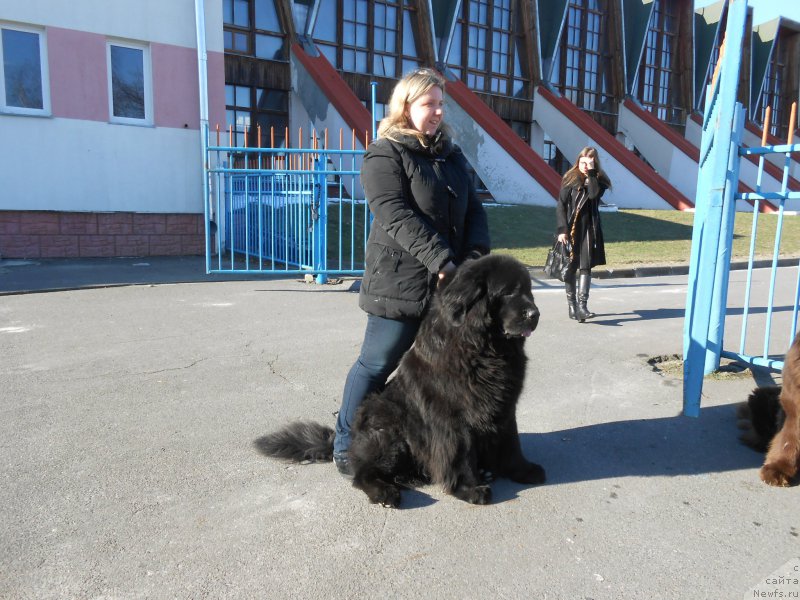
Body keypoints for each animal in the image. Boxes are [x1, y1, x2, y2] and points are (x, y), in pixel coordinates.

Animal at [253, 253, 548, 506]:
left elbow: (511, 442)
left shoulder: (504, 406)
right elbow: (459, 453)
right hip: (389, 431)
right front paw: (469, 488)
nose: (535, 314)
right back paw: (385, 493)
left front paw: (523, 470)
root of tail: (353, 444)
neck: (484, 349)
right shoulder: (452, 418)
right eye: (508, 292)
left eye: (528, 291)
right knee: (364, 474)